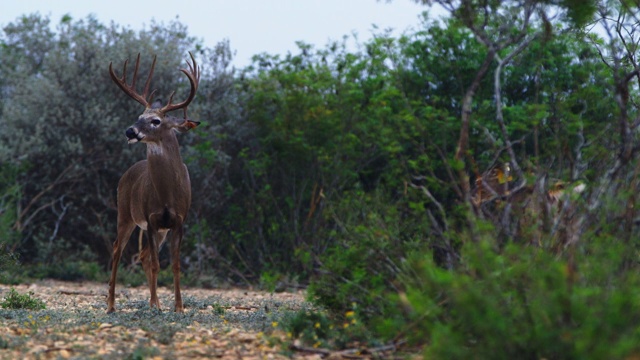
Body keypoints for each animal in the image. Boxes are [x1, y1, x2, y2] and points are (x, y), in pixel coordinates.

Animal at [106, 52, 200, 314]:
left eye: (156, 121)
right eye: (139, 117)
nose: (130, 131)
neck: (167, 195)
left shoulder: (178, 221)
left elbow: (175, 265)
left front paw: (178, 307)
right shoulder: (150, 218)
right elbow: (158, 264)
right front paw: (159, 307)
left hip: (158, 230)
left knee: (145, 255)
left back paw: (153, 301)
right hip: (125, 214)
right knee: (117, 249)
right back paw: (111, 304)